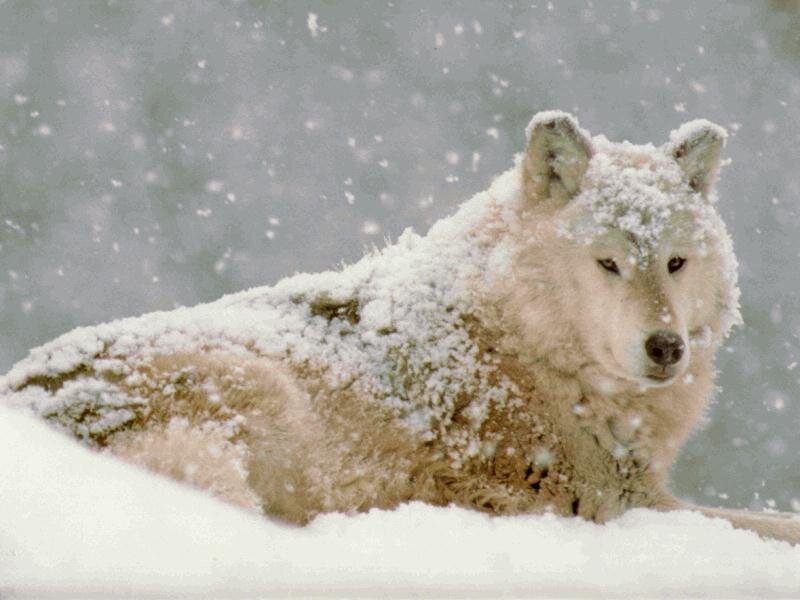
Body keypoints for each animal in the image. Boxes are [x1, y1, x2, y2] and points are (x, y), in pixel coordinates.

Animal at [2, 111, 798, 543]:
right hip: (252, 388)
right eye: (608, 263)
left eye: (675, 263)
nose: (666, 347)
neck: (524, 345)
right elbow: (764, 523)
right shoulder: (619, 504)